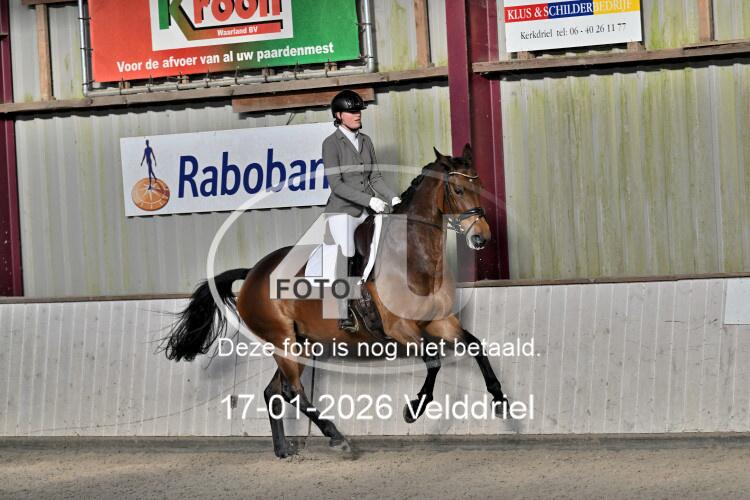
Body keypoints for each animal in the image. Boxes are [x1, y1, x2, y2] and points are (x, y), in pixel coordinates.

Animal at [162, 144, 510, 458]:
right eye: (458, 189)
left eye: (479, 186)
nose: (481, 237)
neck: (412, 256)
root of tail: (253, 273)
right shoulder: (400, 329)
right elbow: (434, 361)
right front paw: (413, 409)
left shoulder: (440, 321)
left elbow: (476, 346)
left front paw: (501, 401)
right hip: (282, 340)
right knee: (293, 391)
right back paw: (337, 438)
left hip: (301, 343)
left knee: (274, 391)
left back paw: (284, 449)